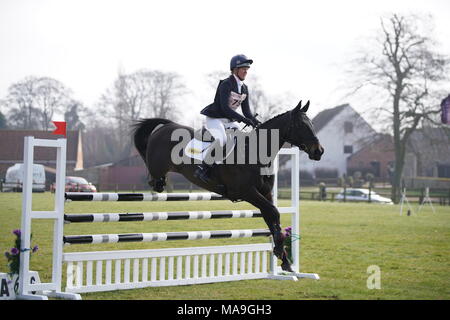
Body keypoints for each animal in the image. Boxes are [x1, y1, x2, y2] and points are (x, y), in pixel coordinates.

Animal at [133, 100, 324, 272]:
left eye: (312, 124)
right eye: (300, 125)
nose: (319, 151)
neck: (255, 153)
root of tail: (167, 126)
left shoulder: (266, 193)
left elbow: (271, 217)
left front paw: (284, 260)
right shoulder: (247, 192)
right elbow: (273, 212)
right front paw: (279, 250)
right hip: (157, 167)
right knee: (153, 178)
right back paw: (159, 183)